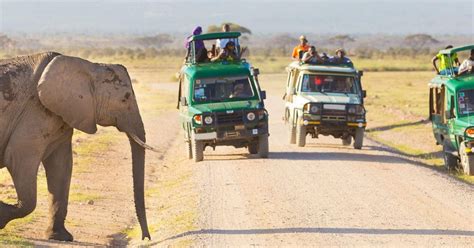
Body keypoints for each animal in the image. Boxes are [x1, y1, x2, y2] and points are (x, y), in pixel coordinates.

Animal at [0, 51, 150, 240]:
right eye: (126, 98)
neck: (89, 66)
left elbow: (61, 168)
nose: (145, 237)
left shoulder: (60, 116)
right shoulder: (34, 113)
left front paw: (60, 237)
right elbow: (18, 161)